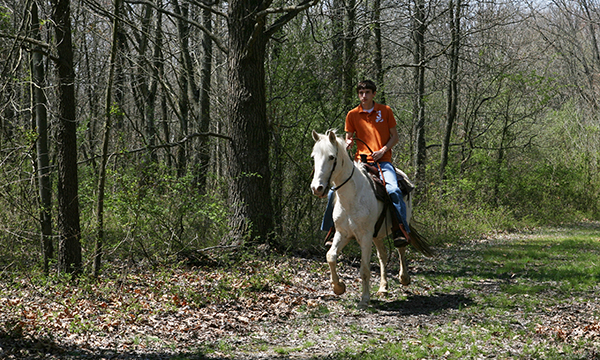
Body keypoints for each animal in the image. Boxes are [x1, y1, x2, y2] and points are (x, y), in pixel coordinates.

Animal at [310, 130, 432, 310]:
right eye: (314, 157)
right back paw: (383, 288)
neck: (352, 197)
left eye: (331, 157)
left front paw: (364, 299)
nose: (316, 188)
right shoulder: (342, 233)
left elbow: (365, 269)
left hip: (400, 224)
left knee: (401, 248)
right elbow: (330, 256)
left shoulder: (365, 237)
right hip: (377, 234)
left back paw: (404, 277)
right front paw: (339, 287)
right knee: (383, 255)